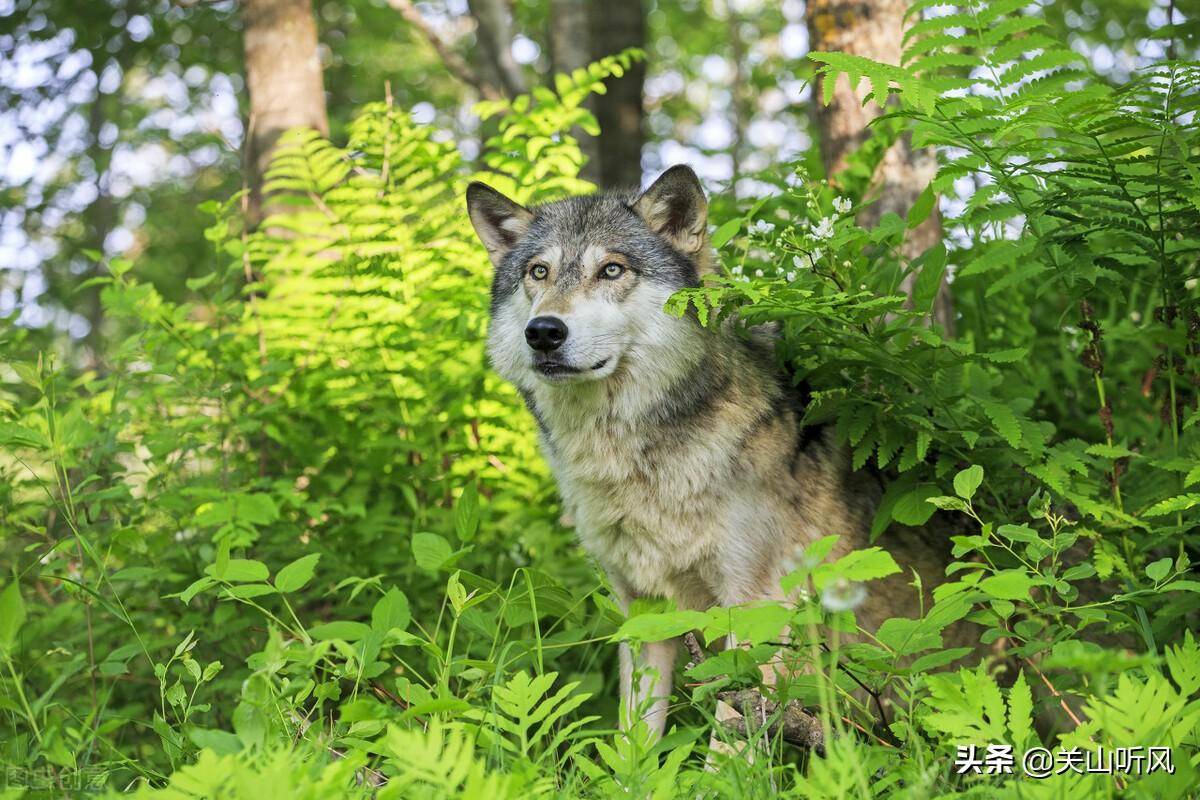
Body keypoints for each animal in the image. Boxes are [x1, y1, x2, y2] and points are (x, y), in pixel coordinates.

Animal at [465, 165, 955, 743]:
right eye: (538, 272)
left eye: (612, 269)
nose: (543, 332)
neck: (642, 459)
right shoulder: (644, 609)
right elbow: (635, 739)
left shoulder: (756, 606)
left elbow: (730, 735)